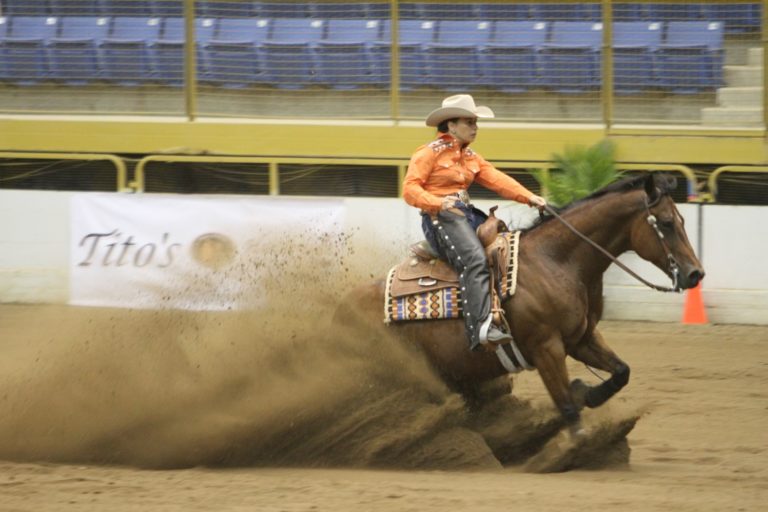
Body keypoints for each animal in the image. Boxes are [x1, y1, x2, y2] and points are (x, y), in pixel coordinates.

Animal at [336, 173, 704, 436]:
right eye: (667, 223)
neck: (555, 261)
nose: (695, 273)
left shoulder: (581, 338)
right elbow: (568, 408)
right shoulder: (546, 347)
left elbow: (621, 373)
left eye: (684, 221)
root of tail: (340, 308)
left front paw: (585, 391)